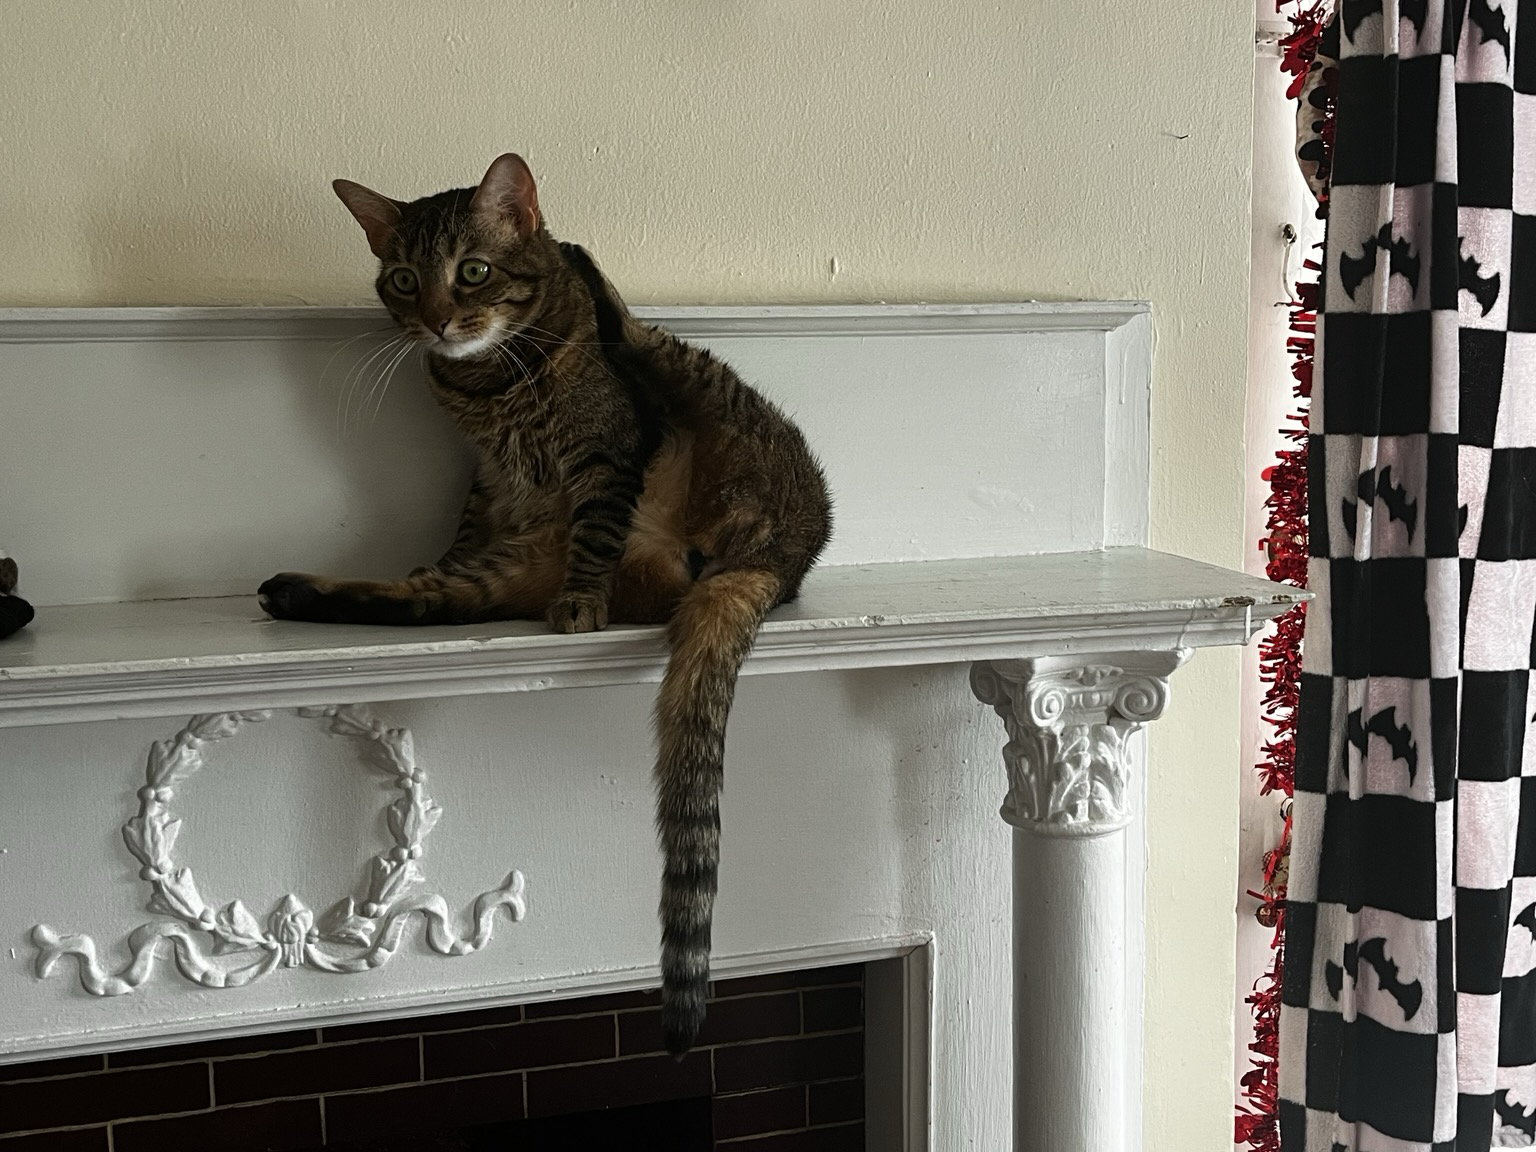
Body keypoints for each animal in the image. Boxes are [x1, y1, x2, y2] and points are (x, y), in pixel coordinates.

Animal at [258, 153, 833, 1054]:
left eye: (473, 271)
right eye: (403, 279)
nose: (437, 322)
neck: (485, 382)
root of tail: (783, 560)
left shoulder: (605, 454)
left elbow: (595, 527)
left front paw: (580, 604)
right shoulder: (489, 481)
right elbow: (460, 534)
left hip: (708, 397)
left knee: (638, 340)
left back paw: (592, 274)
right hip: (510, 564)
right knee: (432, 600)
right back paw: (296, 592)